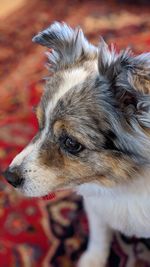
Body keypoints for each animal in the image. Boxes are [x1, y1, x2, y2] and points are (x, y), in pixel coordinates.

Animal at [3, 22, 150, 266]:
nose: (9, 177)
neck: (124, 183)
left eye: (71, 143)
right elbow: (99, 236)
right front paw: (92, 260)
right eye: (40, 123)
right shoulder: (96, 207)